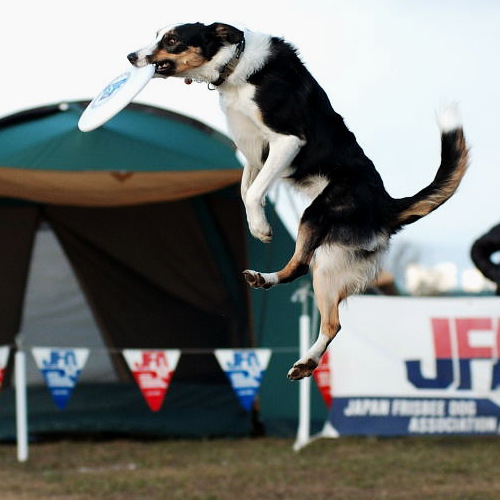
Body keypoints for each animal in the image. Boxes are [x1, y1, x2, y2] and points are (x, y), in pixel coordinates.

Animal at [128, 22, 468, 378]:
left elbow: (252, 191)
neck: (235, 65)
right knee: (324, 308)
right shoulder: (254, 151)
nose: (131, 57)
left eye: (172, 40)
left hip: (316, 217)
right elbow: (246, 190)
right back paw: (289, 327)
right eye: (158, 36)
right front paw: (257, 221)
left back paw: (290, 327)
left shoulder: (286, 141)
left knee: (308, 278)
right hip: (333, 259)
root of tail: (387, 206)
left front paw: (261, 229)